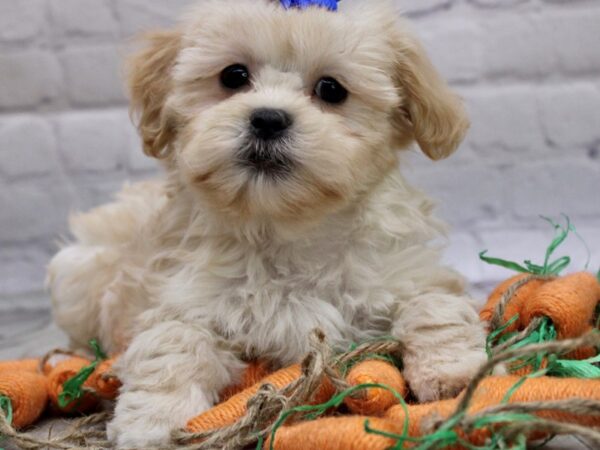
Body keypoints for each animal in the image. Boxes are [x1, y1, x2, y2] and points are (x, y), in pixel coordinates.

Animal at [47, 0, 488, 446]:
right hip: (77, 271)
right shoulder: (176, 297)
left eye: (331, 89)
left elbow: (433, 305)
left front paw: (453, 374)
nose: (269, 119)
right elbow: (172, 344)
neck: (282, 227)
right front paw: (153, 420)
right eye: (234, 76)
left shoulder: (409, 271)